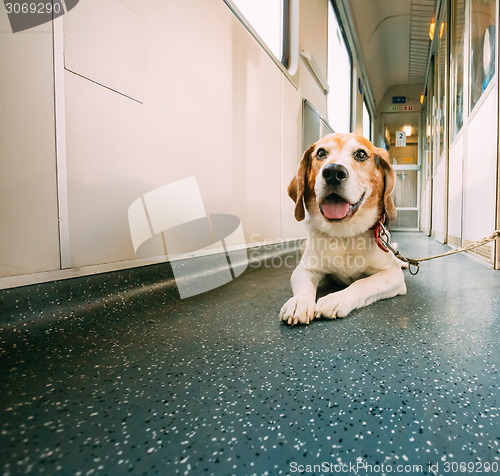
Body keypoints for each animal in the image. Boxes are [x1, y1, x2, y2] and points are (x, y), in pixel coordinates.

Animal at [282, 134, 406, 328]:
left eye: (361, 154)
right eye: (321, 153)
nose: (333, 171)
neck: (345, 234)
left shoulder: (393, 276)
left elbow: (363, 283)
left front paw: (336, 299)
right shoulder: (305, 269)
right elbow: (304, 286)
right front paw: (299, 303)